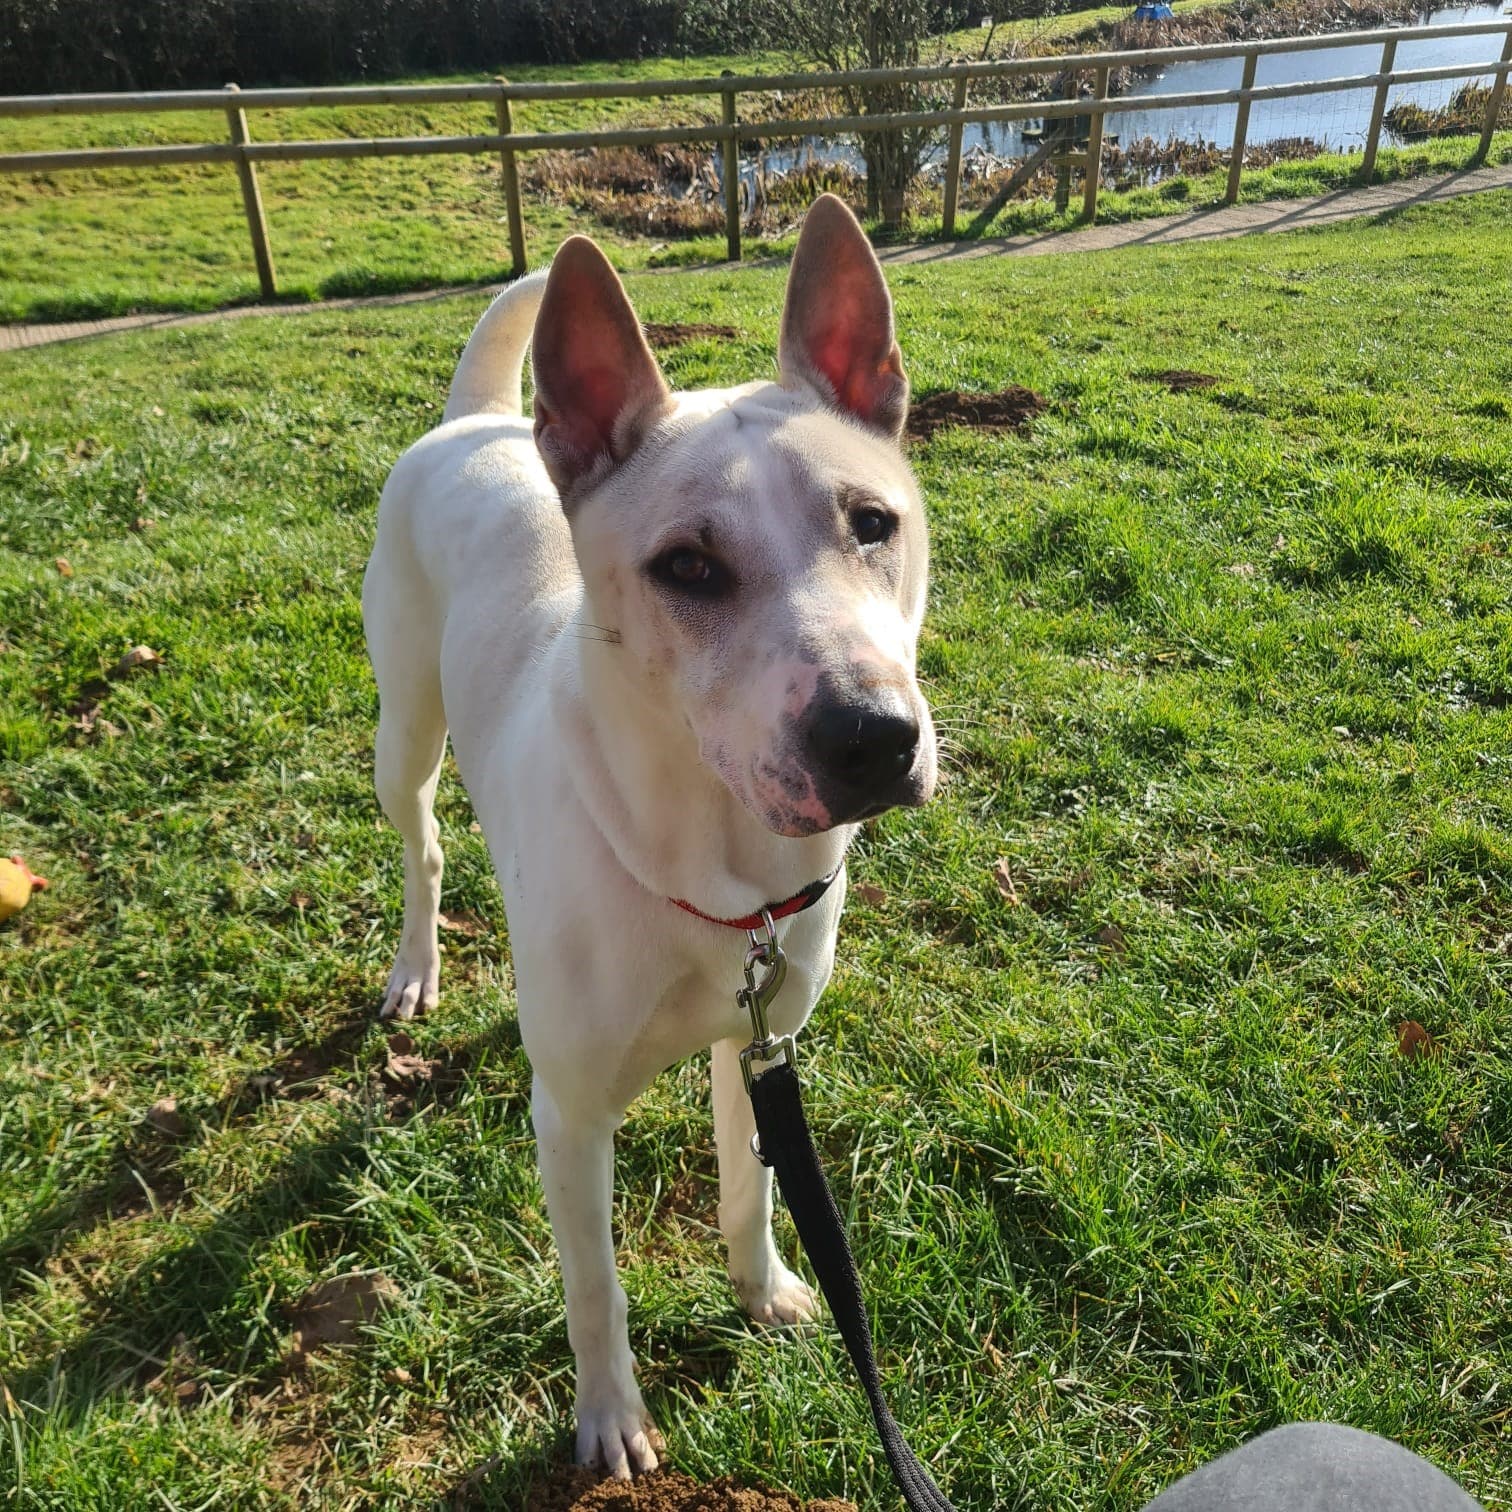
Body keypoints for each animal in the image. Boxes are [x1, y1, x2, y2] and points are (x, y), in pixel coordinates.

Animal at [364, 192, 931, 1475]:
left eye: (874, 522)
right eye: (688, 565)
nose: (874, 738)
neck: (716, 871)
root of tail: (477, 423)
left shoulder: (759, 1042)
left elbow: (751, 1187)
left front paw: (764, 1292)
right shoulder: (570, 1119)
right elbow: (595, 1287)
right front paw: (611, 1420)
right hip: (402, 725)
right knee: (423, 844)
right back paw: (417, 965)